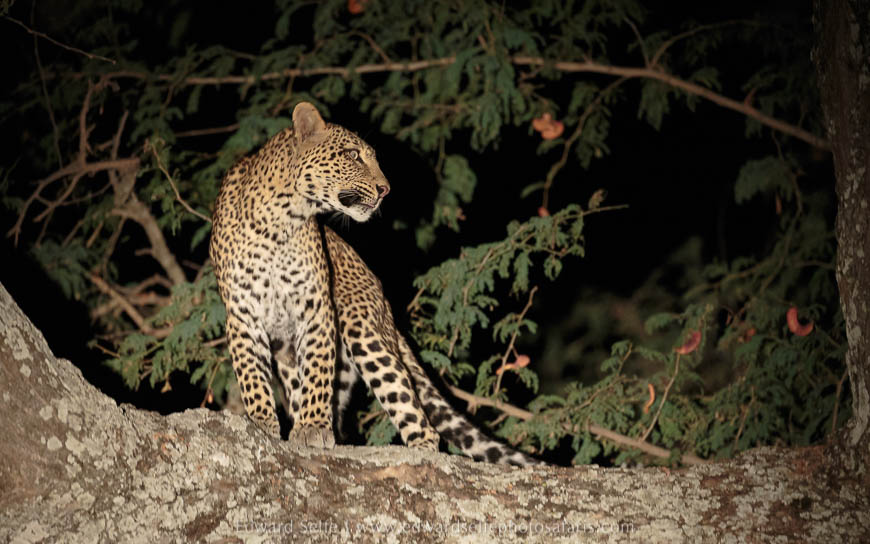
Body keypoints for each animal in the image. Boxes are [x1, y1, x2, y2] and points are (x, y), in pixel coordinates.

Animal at [210, 101, 540, 465]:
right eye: (353, 155)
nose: (386, 190)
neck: (280, 222)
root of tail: (383, 301)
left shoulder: (316, 307)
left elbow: (317, 374)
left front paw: (312, 427)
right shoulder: (242, 313)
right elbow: (251, 374)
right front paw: (262, 424)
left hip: (363, 329)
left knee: (422, 424)